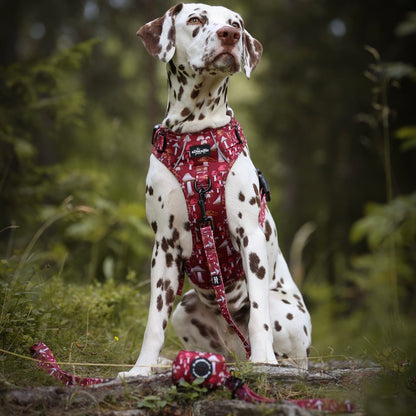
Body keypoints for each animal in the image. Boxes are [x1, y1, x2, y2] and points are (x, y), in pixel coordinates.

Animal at [118, 3, 310, 378]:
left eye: (236, 23)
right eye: (195, 19)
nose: (230, 35)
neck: (198, 141)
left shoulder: (250, 236)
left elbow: (259, 316)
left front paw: (263, 359)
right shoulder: (164, 247)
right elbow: (153, 323)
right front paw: (141, 369)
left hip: (285, 313)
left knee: (288, 350)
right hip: (186, 308)